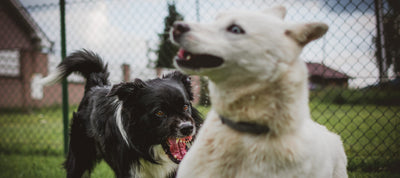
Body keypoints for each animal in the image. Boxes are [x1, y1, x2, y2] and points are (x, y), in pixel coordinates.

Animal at [43, 49, 203, 177]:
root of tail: (95, 85)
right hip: (80, 157)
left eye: (185, 107)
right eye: (159, 112)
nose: (188, 128)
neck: (148, 147)